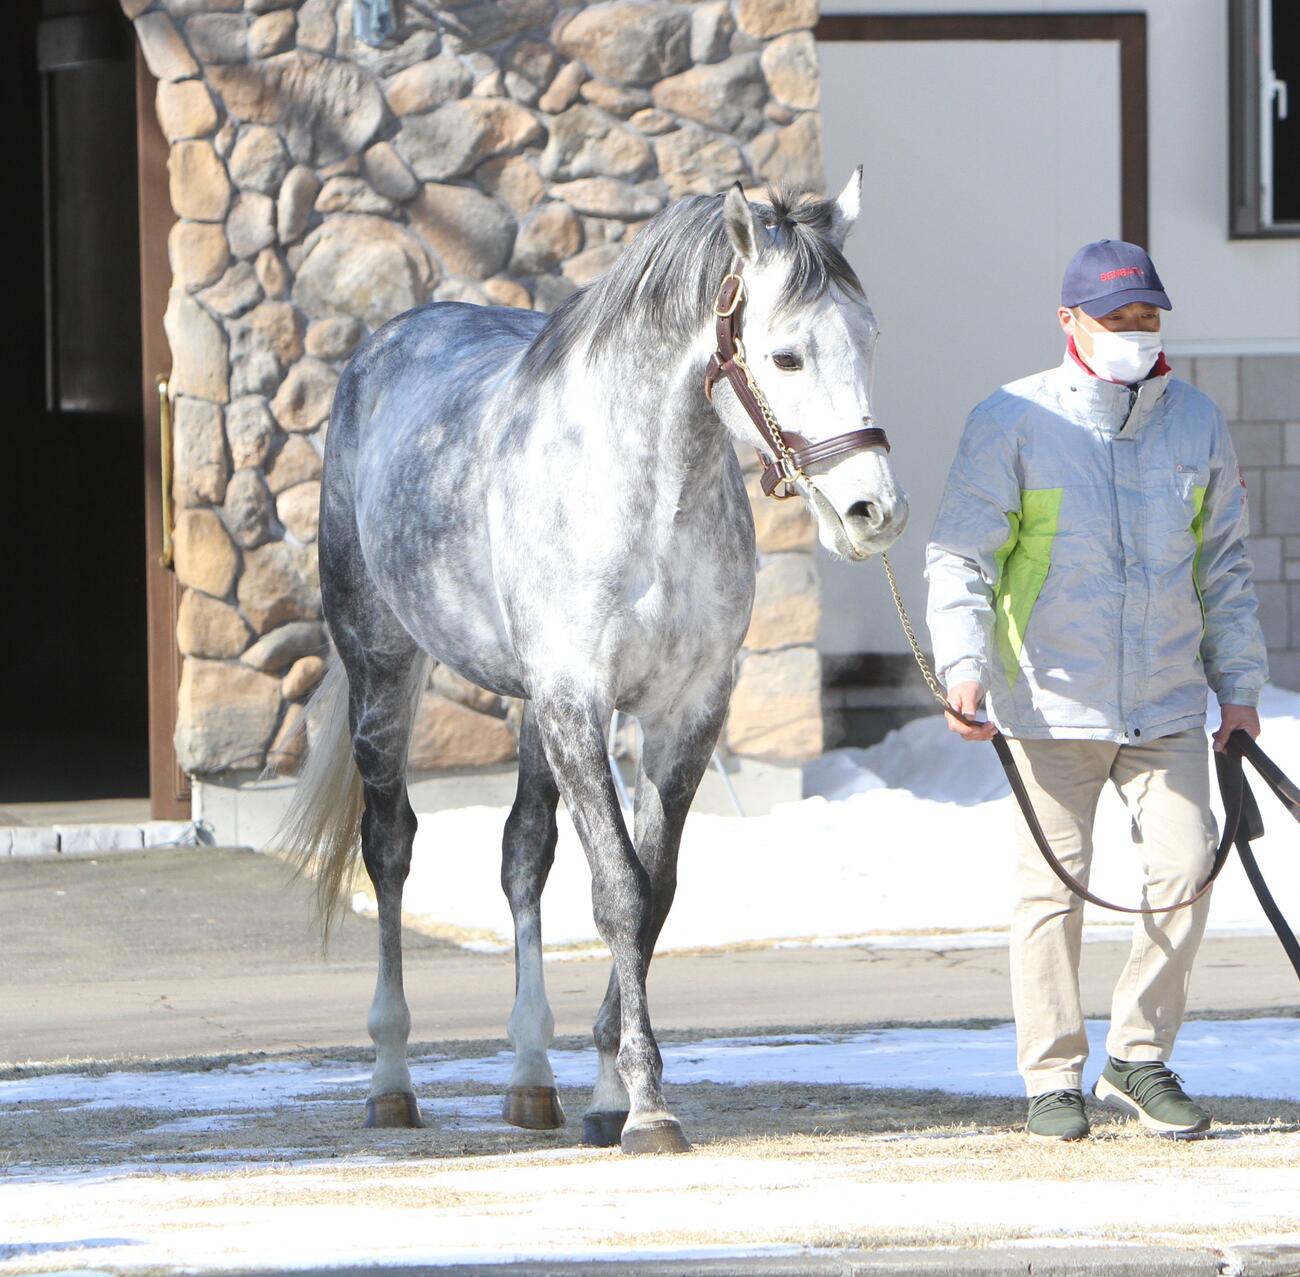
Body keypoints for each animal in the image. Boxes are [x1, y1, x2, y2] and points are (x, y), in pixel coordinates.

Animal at [282, 172, 908, 1154]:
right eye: (786, 357)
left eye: (869, 337)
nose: (871, 512)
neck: (646, 498)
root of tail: (385, 343)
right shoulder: (580, 699)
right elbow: (616, 888)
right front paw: (649, 1106)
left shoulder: (684, 713)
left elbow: (653, 894)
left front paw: (612, 1093)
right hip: (385, 669)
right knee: (388, 851)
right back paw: (391, 1082)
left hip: (533, 711)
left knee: (521, 858)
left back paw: (531, 1079)